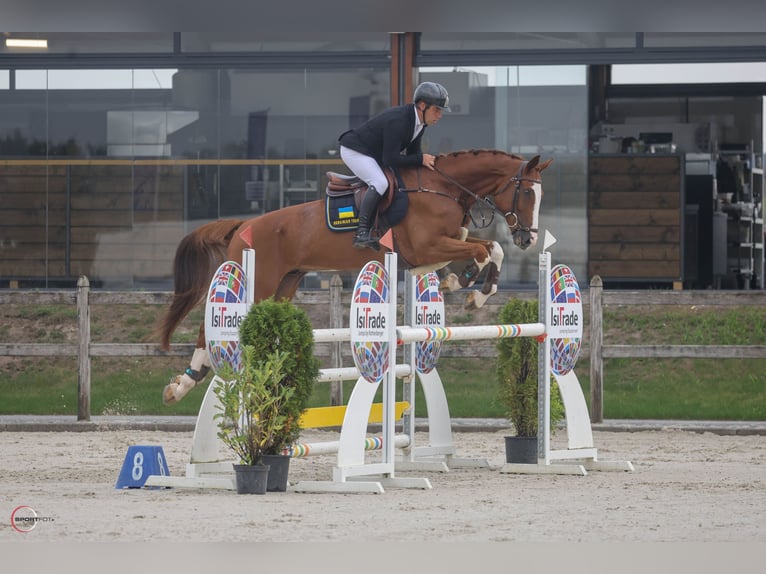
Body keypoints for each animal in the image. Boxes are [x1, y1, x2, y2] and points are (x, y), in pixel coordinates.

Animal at [158, 150, 552, 404]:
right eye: (526, 191)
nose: (529, 239)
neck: (444, 187)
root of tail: (244, 226)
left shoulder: (438, 247)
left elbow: (485, 248)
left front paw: (467, 286)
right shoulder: (428, 247)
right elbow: (486, 249)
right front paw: (473, 289)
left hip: (283, 286)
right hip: (259, 283)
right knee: (207, 328)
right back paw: (182, 384)